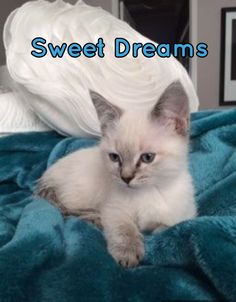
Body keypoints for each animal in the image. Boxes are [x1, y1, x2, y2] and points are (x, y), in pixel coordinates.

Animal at [37, 80, 196, 266]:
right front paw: (128, 254)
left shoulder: (184, 215)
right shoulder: (114, 209)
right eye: (114, 157)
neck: (148, 192)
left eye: (147, 157)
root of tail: (47, 175)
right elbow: (124, 229)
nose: (126, 178)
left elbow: (167, 227)